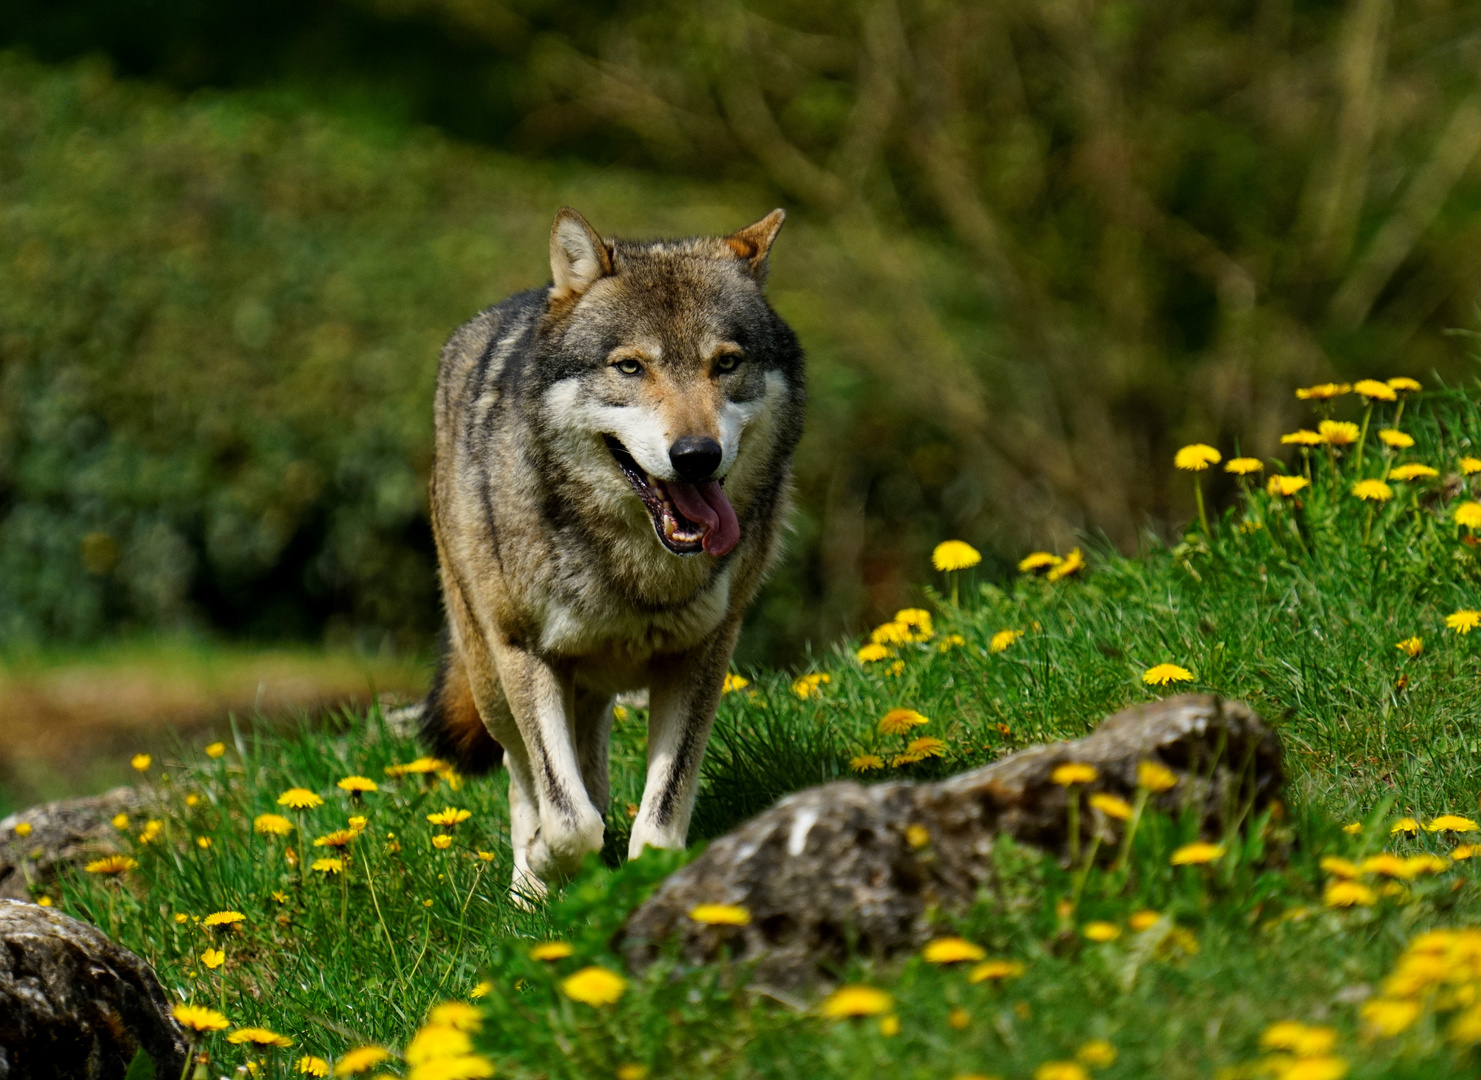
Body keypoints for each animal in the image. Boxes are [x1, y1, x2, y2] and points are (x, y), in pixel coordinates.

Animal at [423, 208, 805, 894]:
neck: (635, 568)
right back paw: (529, 887)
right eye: (630, 367)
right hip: (491, 680)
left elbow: (658, 821)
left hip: (590, 690)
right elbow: (567, 819)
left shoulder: (704, 652)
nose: (697, 455)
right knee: (526, 780)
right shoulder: (526, 653)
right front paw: (547, 860)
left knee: (589, 775)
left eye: (726, 363)